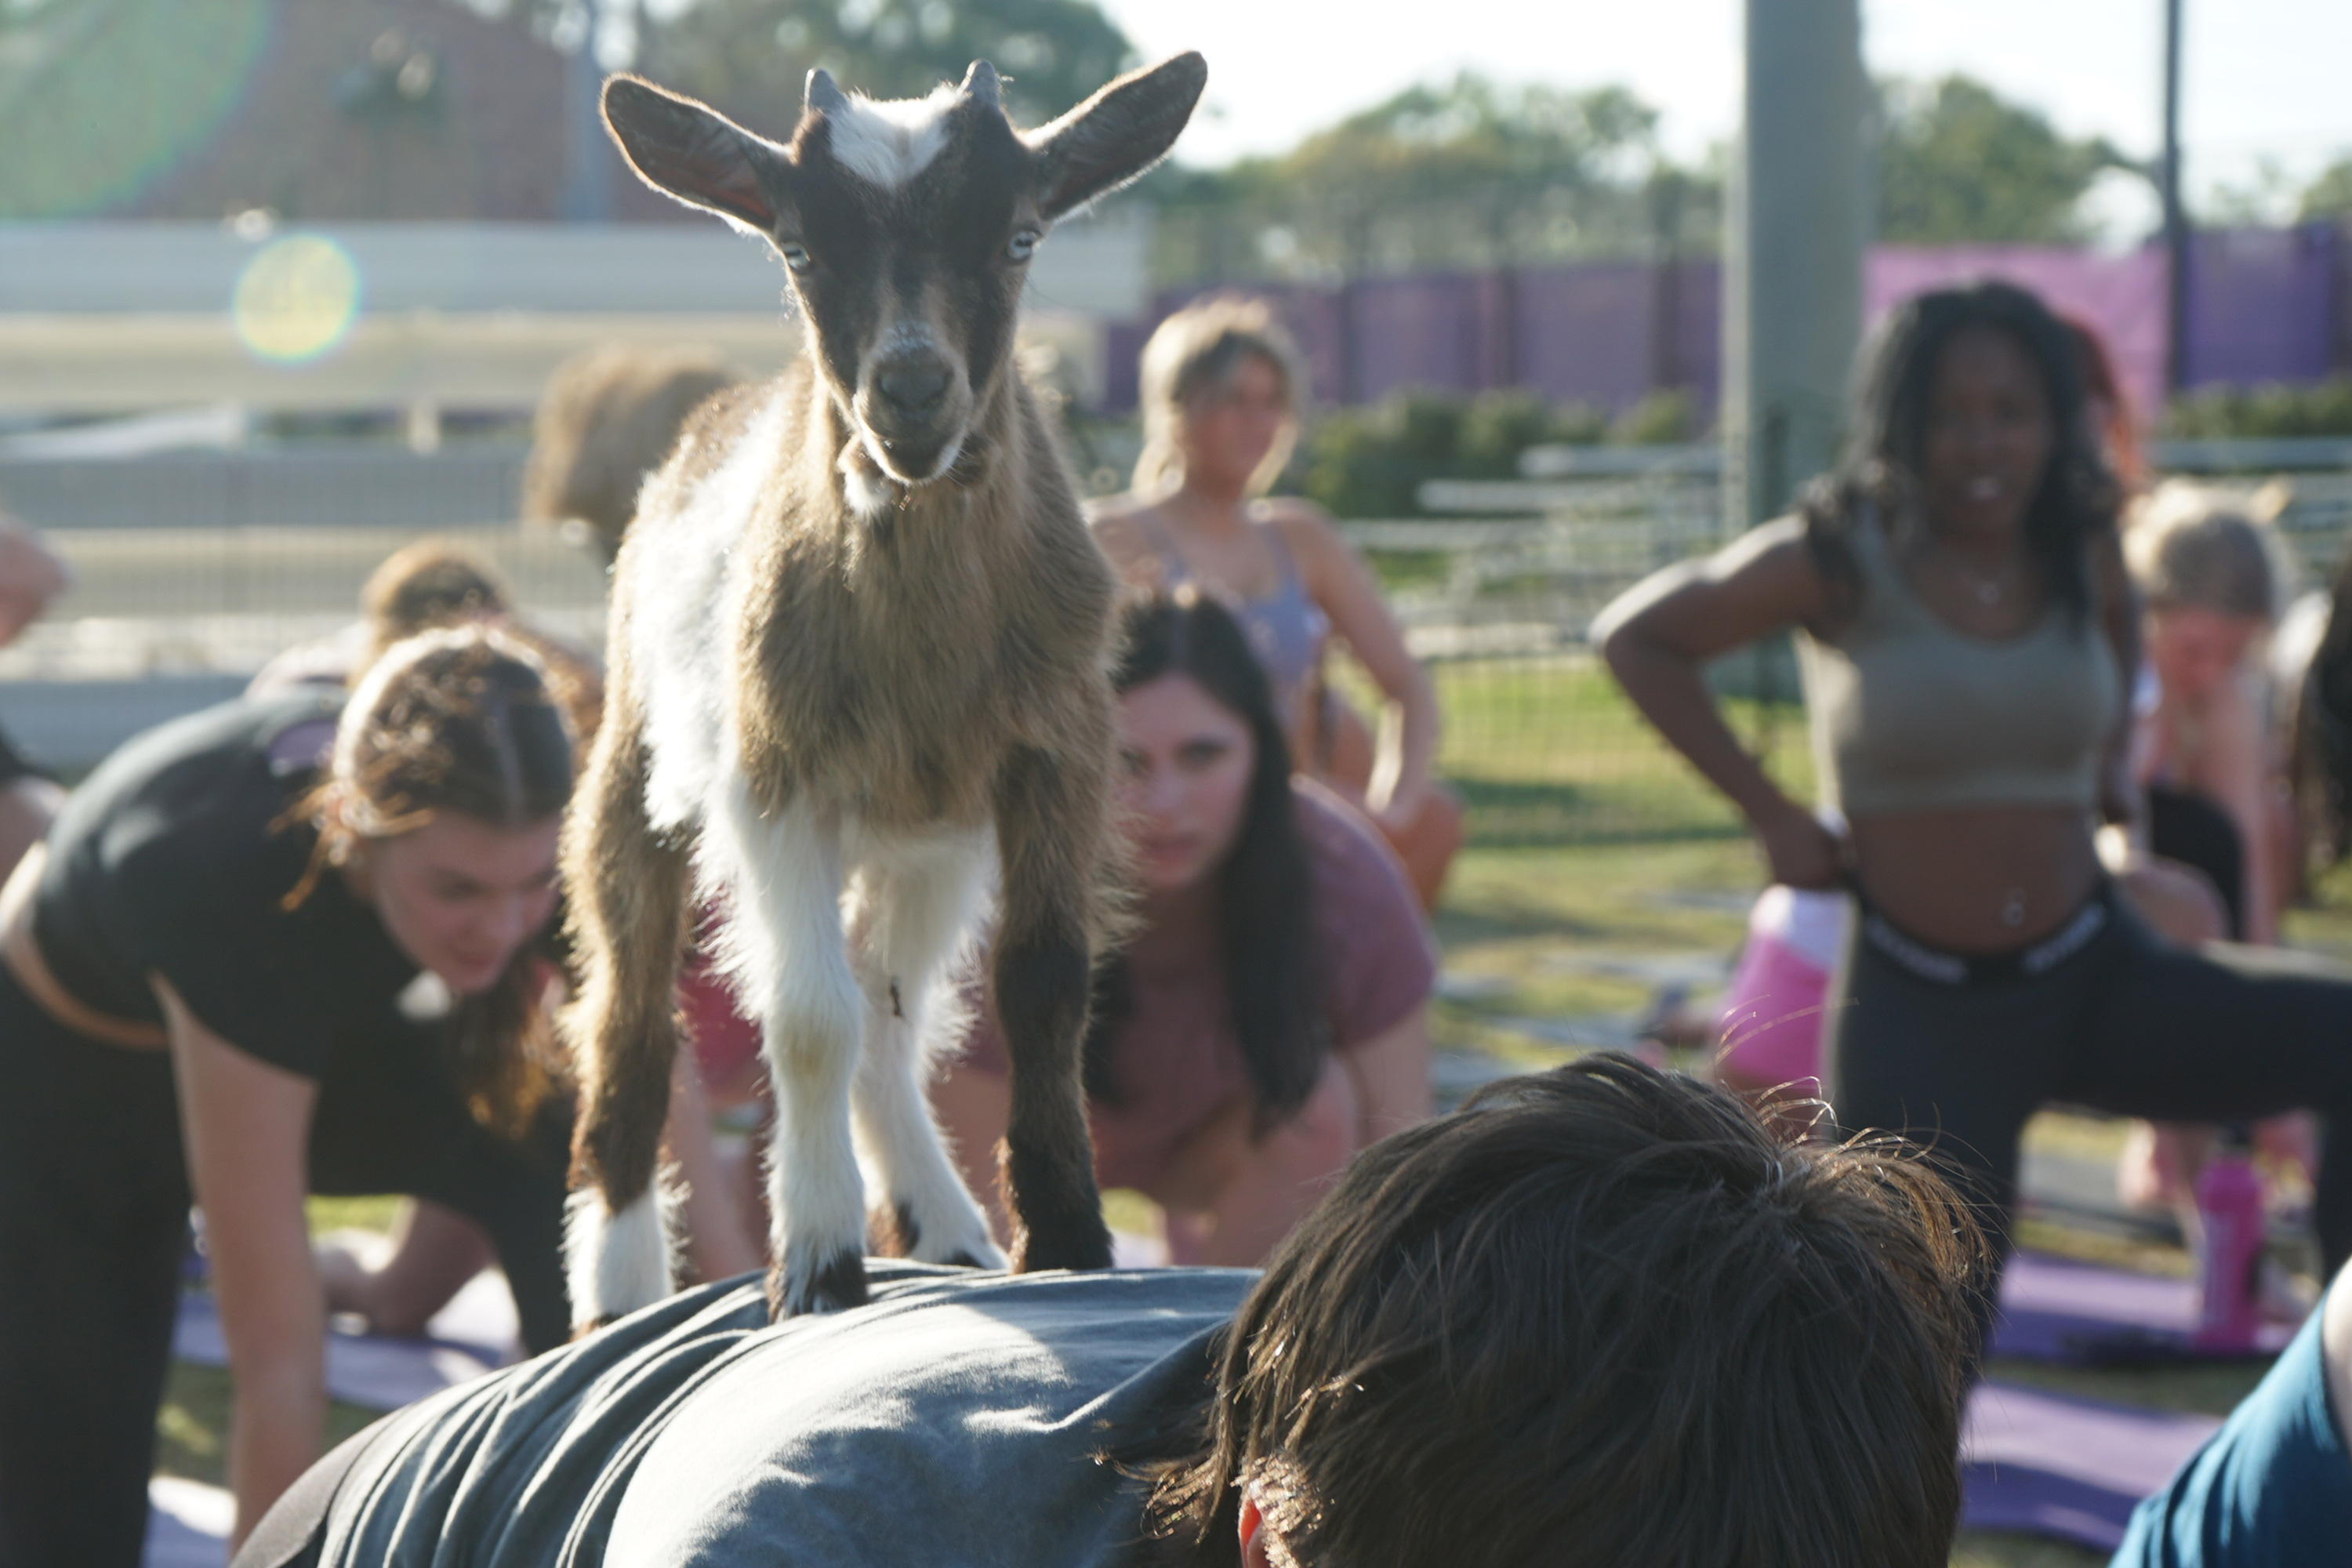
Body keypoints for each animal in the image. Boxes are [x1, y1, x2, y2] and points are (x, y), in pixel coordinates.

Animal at [562, 52, 1207, 1324]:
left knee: (890, 1013)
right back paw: (615, 1290)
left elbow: (1043, 984)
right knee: (633, 1022)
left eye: (1020, 235)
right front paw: (815, 1266)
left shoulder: (1056, 755)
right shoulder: (775, 782)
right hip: (635, 778)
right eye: (799, 246)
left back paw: (946, 1224)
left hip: (930, 846)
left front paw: (1067, 1236)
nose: (910, 392)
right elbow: (807, 1018)